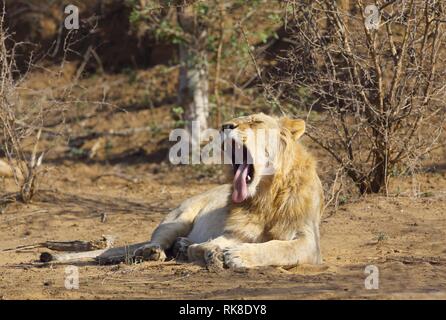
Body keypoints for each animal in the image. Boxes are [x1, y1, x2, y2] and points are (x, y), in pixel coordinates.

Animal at [133, 114, 324, 268]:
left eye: (256, 121)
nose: (225, 126)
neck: (265, 197)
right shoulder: (236, 232)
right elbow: (209, 244)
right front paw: (210, 251)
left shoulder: (310, 242)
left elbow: (280, 247)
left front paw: (238, 255)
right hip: (178, 218)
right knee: (159, 238)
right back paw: (151, 251)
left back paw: (182, 245)